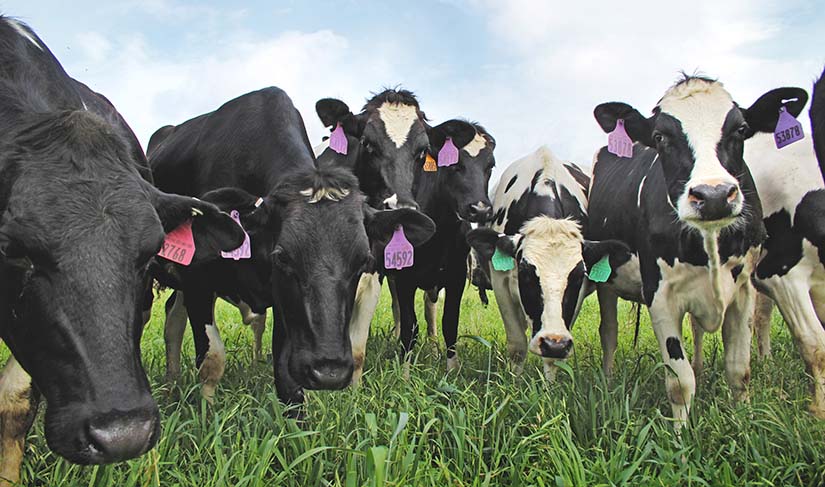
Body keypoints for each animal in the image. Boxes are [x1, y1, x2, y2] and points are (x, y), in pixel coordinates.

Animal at [147, 87, 435, 405]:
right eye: (368, 144)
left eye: (423, 151)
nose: (330, 371)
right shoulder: (198, 277)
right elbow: (212, 360)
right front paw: (205, 413)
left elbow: (290, 376)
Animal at [466, 146, 627, 381]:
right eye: (525, 272)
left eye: (579, 275)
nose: (553, 343)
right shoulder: (501, 281)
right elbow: (517, 344)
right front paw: (514, 383)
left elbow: (552, 357)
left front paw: (549, 386)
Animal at [587, 74, 801, 427]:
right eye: (660, 137)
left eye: (741, 129)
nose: (713, 195)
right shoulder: (659, 295)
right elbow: (680, 382)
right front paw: (681, 435)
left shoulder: (743, 291)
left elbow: (739, 369)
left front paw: (743, 422)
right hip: (605, 276)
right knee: (610, 332)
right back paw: (606, 382)